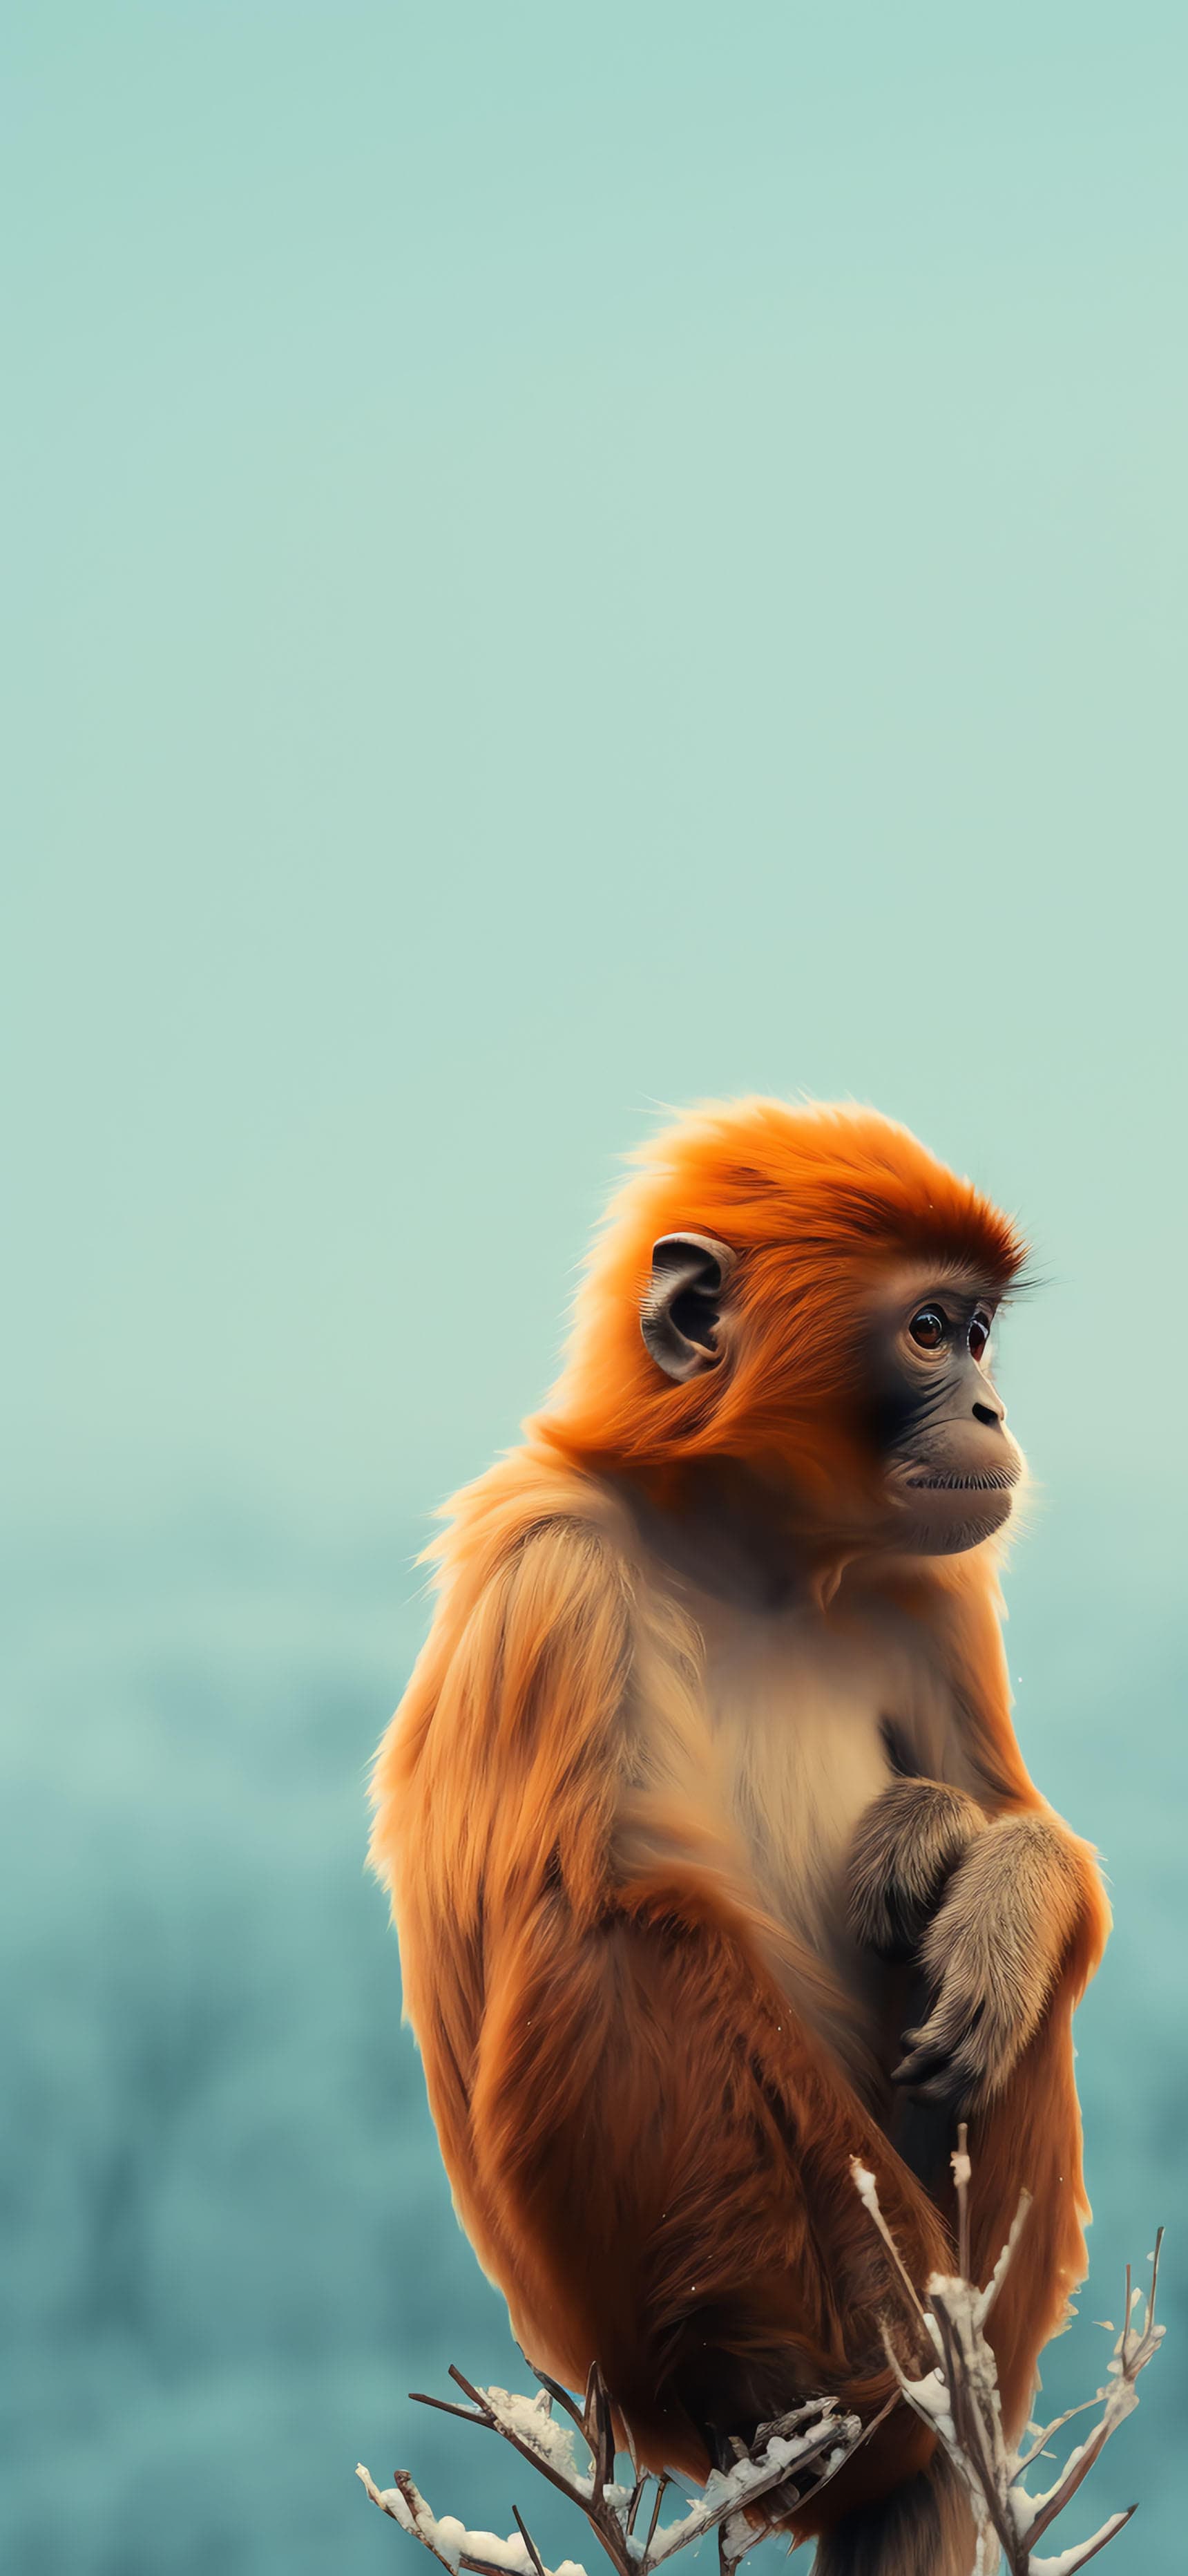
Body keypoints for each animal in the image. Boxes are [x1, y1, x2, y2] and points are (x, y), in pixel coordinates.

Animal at [370, 1099, 1108, 2576]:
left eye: (980, 1332)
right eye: (931, 1330)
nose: (993, 1410)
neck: (757, 1553)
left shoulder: (933, 1583)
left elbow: (1025, 1829)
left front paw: (980, 1874)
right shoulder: (553, 1570)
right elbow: (616, 1922)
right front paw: (902, 2335)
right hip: (641, 2355)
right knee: (618, 1944)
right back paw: (860, 2396)